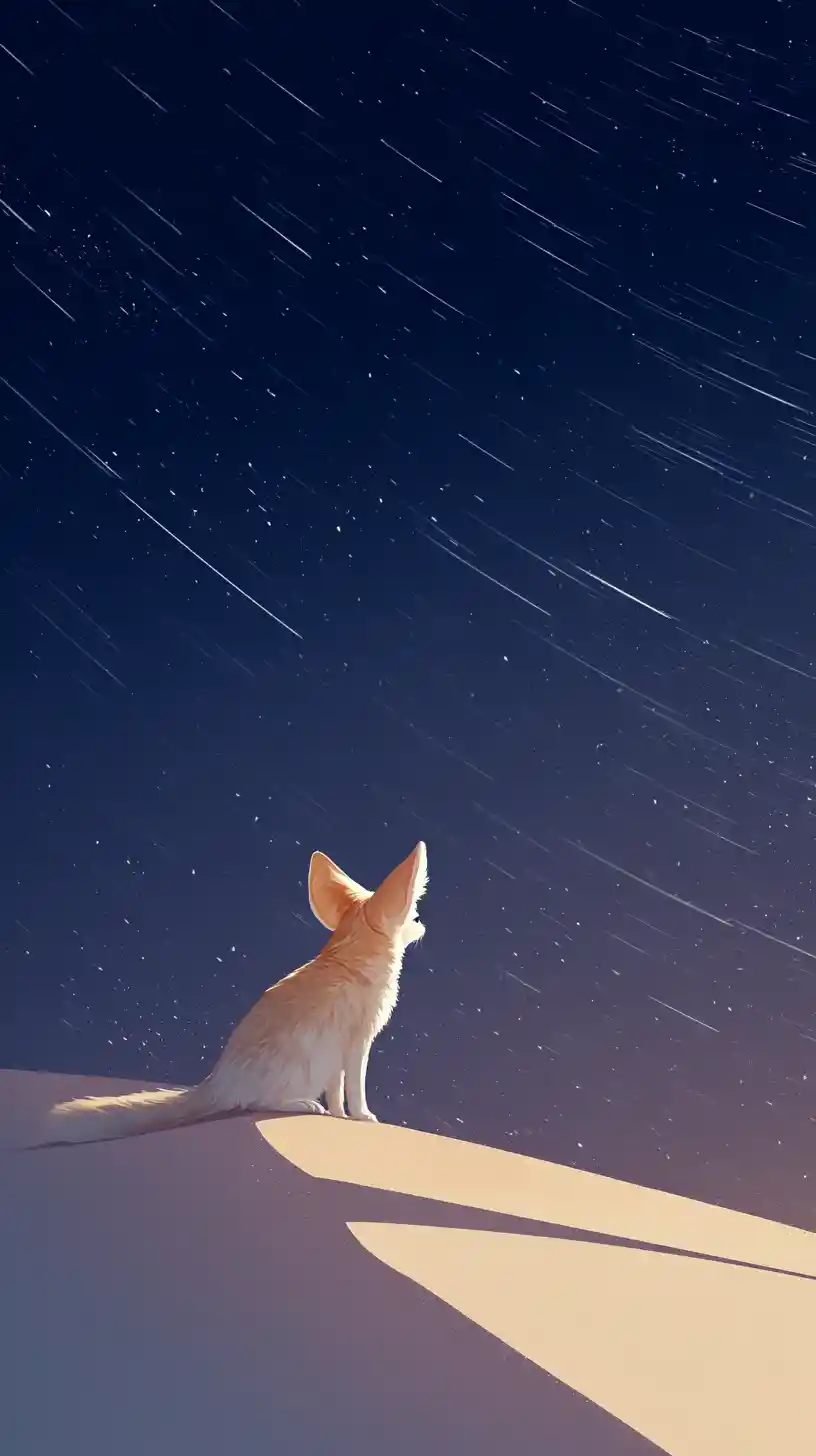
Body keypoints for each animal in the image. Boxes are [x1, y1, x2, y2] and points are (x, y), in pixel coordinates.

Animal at [47, 840, 428, 1144]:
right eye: (413, 916)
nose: (424, 925)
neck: (353, 956)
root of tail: (215, 1086)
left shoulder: (338, 1056)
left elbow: (337, 1091)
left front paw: (342, 1117)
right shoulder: (358, 1042)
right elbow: (355, 1086)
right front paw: (364, 1118)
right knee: (257, 1104)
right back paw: (304, 1105)